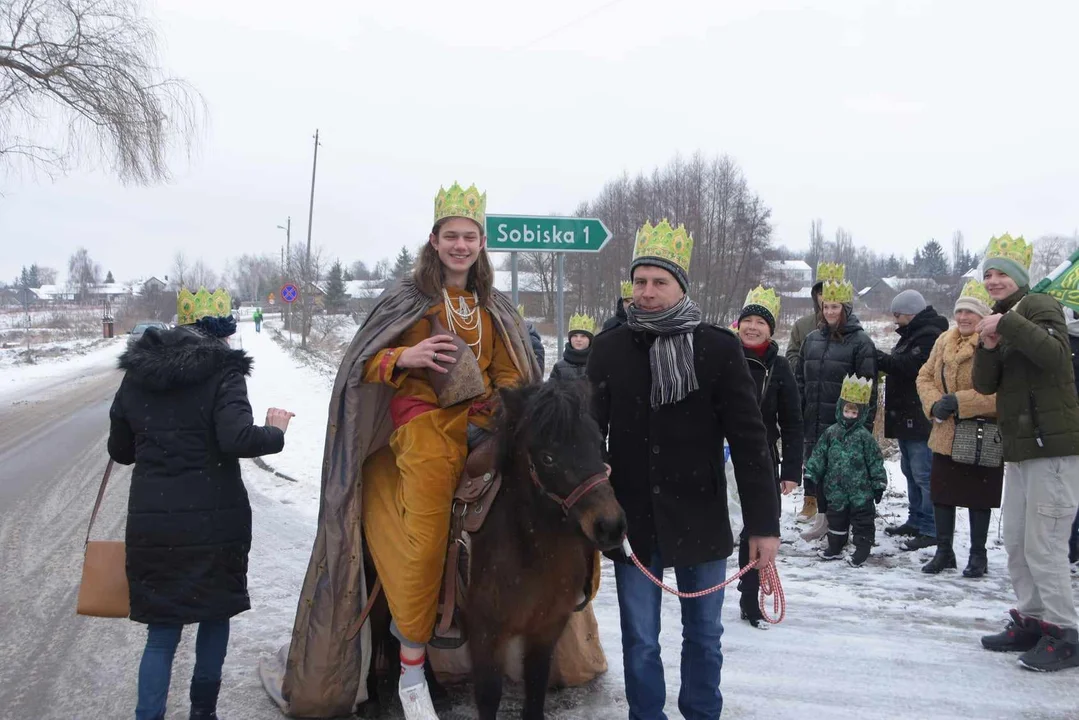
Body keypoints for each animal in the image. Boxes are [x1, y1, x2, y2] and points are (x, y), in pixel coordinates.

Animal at [362, 379, 630, 716]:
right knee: (380, 627)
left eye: (597, 441)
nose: (611, 525)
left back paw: (434, 690)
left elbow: (536, 689)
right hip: (383, 579)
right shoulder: (486, 633)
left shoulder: (546, 629)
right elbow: (489, 696)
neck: (532, 549)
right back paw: (374, 696)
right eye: (547, 457)